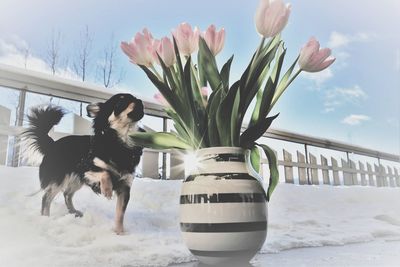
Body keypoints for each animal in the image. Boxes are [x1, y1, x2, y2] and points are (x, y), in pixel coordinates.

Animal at [23, 93, 145, 234]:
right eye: (121, 102)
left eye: (134, 98)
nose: (140, 101)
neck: (120, 144)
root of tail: (52, 145)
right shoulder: (85, 167)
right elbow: (105, 173)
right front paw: (107, 190)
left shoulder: (125, 187)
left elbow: (120, 213)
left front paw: (119, 233)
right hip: (59, 179)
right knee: (46, 198)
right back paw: (46, 218)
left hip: (76, 181)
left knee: (67, 194)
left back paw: (73, 212)